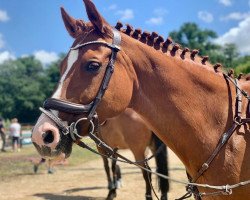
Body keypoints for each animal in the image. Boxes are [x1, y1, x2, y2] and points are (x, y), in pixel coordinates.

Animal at [32, 0, 250, 199]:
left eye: (92, 65)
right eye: (61, 66)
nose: (42, 135)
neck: (223, 125)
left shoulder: (105, 148)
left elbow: (110, 168)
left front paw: (112, 190)